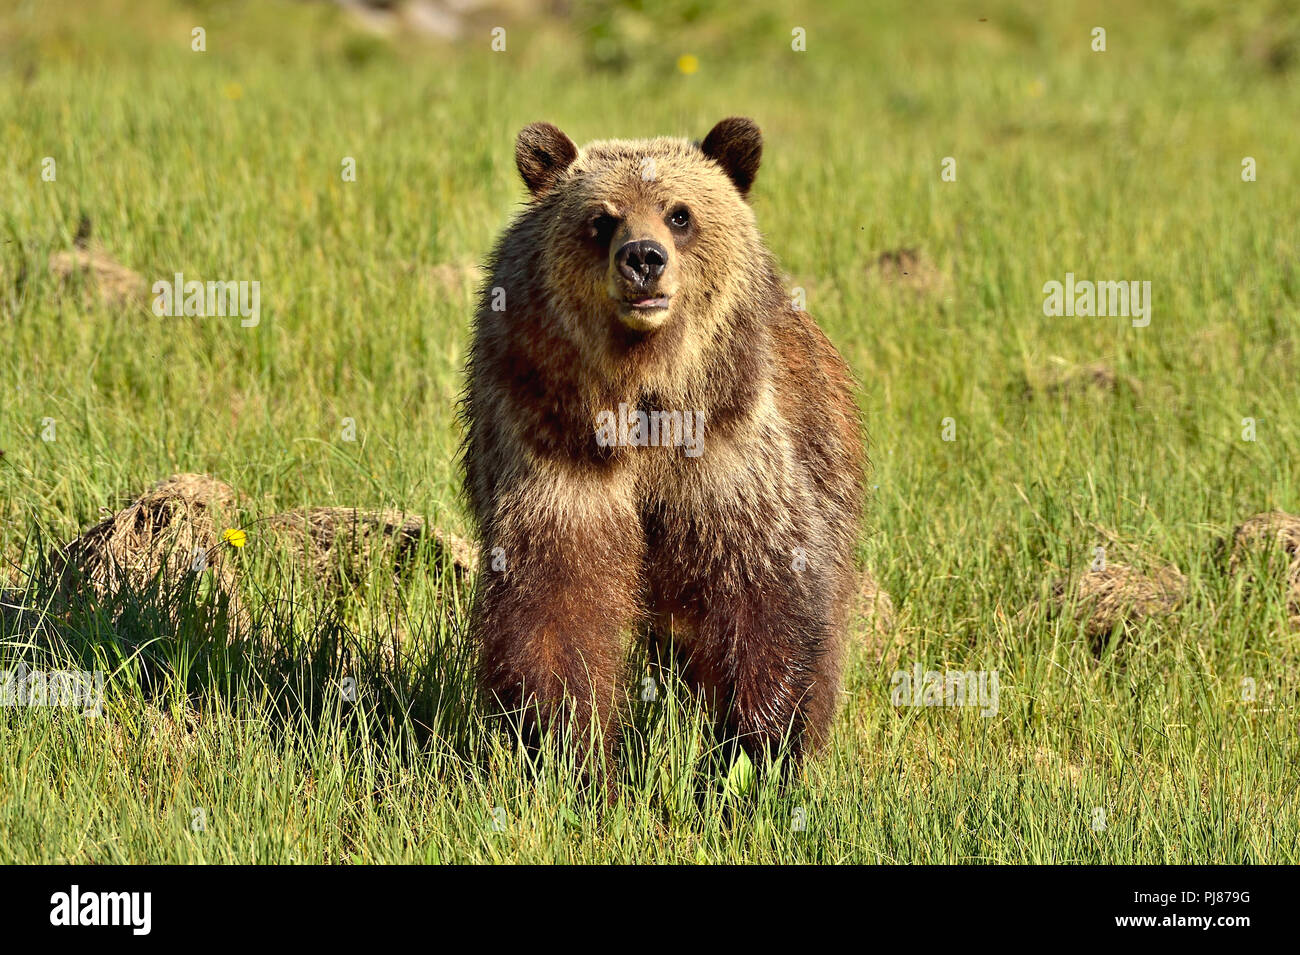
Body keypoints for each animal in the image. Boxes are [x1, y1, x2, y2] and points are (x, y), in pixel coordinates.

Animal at [462, 115, 868, 779]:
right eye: (601, 219)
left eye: (679, 214)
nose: (643, 258)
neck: (643, 394)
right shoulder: (553, 447)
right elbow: (555, 599)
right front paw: (571, 752)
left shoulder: (726, 452)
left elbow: (763, 591)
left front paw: (759, 751)